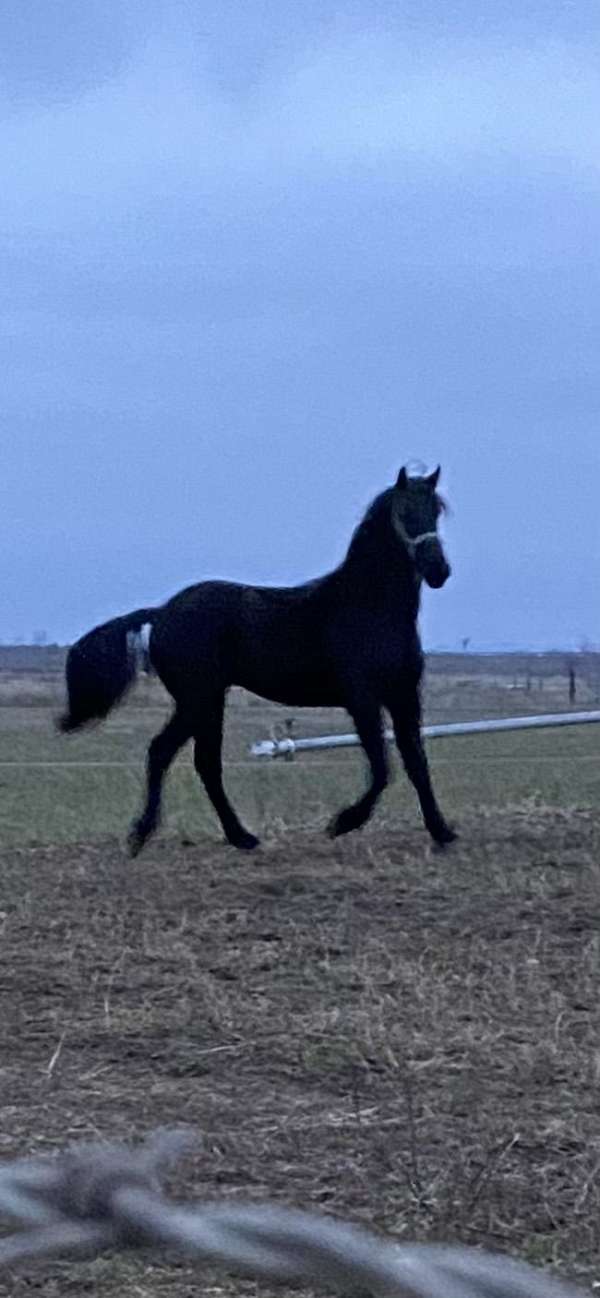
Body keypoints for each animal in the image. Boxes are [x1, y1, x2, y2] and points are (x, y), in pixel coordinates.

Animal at [59, 467, 454, 851]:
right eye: (404, 512)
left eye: (436, 511)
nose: (438, 570)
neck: (368, 607)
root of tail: (162, 612)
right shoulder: (363, 699)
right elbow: (382, 768)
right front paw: (342, 823)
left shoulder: (404, 696)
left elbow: (417, 763)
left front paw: (442, 831)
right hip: (199, 699)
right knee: (182, 757)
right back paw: (184, 835)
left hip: (204, 701)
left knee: (184, 758)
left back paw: (214, 836)